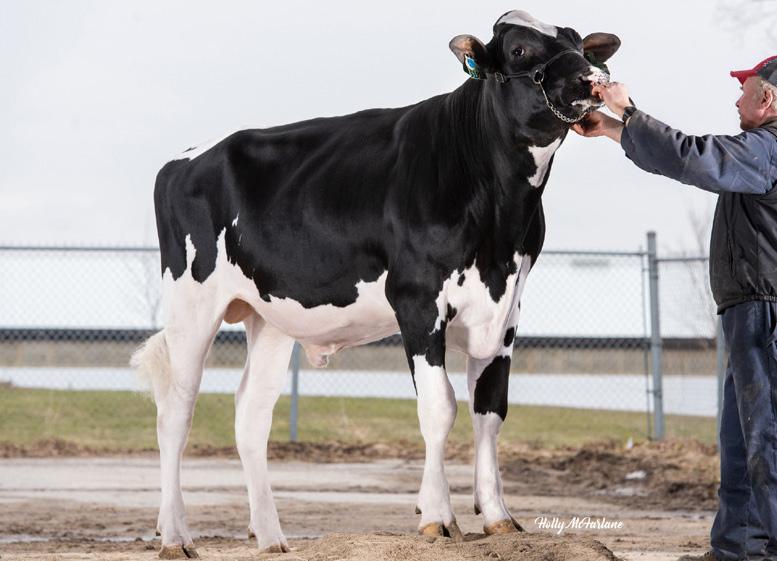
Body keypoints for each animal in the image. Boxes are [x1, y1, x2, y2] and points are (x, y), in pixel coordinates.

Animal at [131, 10, 620, 558]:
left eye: (580, 44)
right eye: (518, 50)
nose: (595, 80)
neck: (499, 215)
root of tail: (187, 157)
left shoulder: (507, 308)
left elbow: (490, 410)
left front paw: (497, 516)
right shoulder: (417, 300)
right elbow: (439, 407)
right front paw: (437, 517)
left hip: (270, 315)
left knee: (251, 413)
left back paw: (272, 537)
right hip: (192, 302)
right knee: (176, 410)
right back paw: (175, 535)